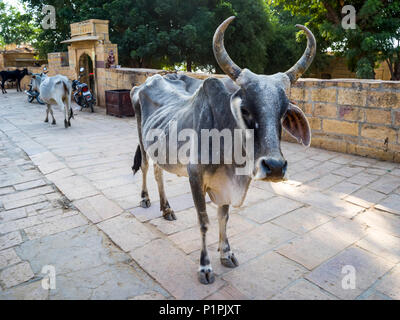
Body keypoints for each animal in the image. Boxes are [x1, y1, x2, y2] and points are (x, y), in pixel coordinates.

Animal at [131, 16, 316, 284]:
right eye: (246, 109)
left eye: (283, 113)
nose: (274, 167)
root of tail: (145, 82)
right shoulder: (195, 176)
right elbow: (204, 221)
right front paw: (205, 266)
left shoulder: (226, 185)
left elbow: (224, 217)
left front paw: (226, 253)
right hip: (141, 139)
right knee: (146, 167)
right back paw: (145, 199)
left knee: (158, 173)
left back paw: (166, 209)